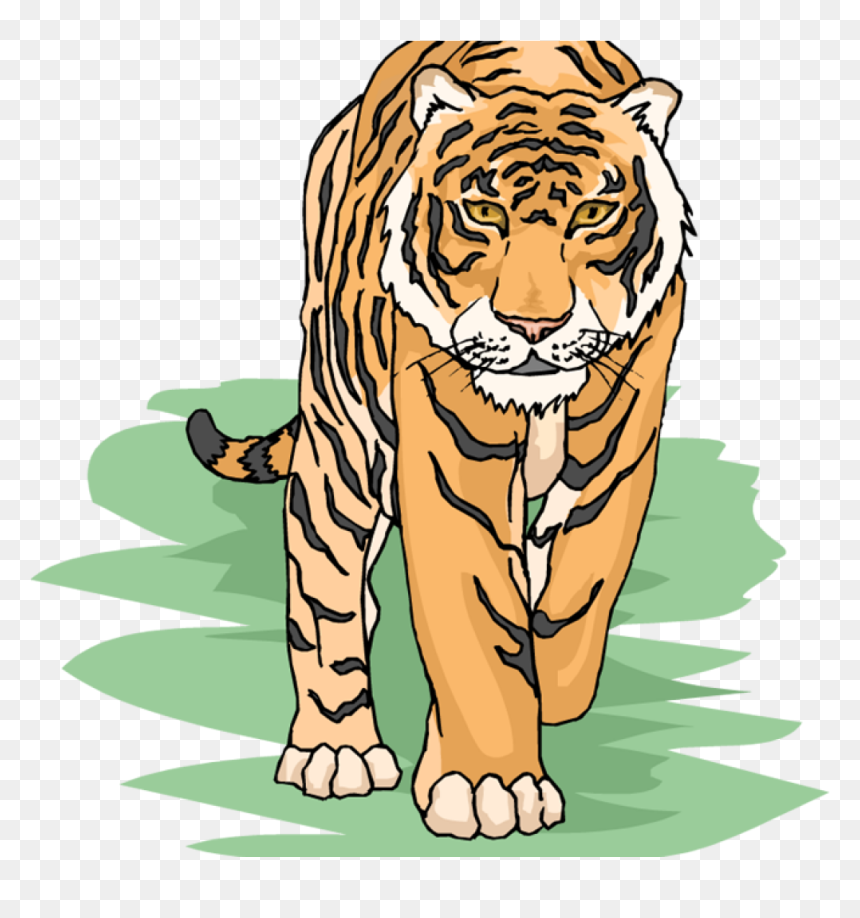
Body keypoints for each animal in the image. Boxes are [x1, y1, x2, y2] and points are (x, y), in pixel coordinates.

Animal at [186, 41, 694, 840]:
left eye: (592, 214)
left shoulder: (620, 441)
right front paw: (494, 786)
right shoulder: (451, 456)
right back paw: (336, 751)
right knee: (327, 591)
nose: (533, 325)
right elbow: (475, 620)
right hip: (341, 437)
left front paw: (539, 698)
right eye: (482, 212)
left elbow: (576, 594)